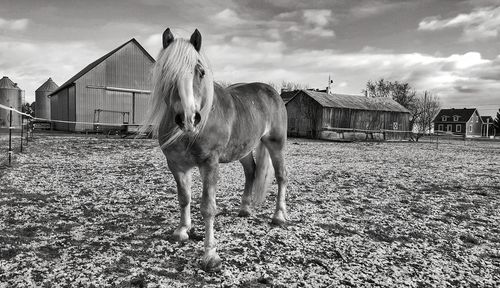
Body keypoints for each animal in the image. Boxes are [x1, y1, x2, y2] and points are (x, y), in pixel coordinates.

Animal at [142, 28, 290, 274]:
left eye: (201, 72)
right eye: (166, 71)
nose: (189, 118)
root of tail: (272, 91)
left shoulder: (209, 164)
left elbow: (207, 208)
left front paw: (210, 256)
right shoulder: (176, 165)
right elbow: (184, 198)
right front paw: (182, 230)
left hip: (275, 144)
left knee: (281, 176)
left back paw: (278, 216)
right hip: (244, 150)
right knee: (251, 171)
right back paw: (245, 209)